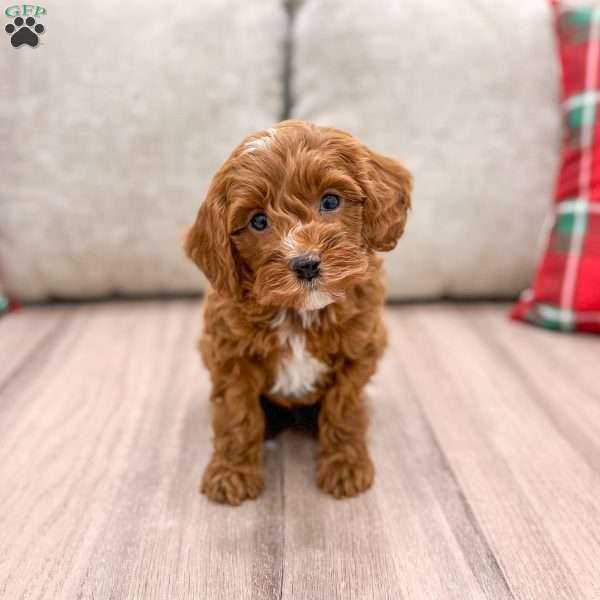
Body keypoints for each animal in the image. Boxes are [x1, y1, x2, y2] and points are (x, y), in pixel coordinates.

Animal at [186, 119, 412, 504]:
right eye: (258, 221)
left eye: (331, 200)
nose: (306, 264)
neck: (299, 313)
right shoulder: (229, 355)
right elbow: (237, 413)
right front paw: (232, 472)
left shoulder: (359, 349)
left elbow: (344, 409)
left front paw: (345, 466)